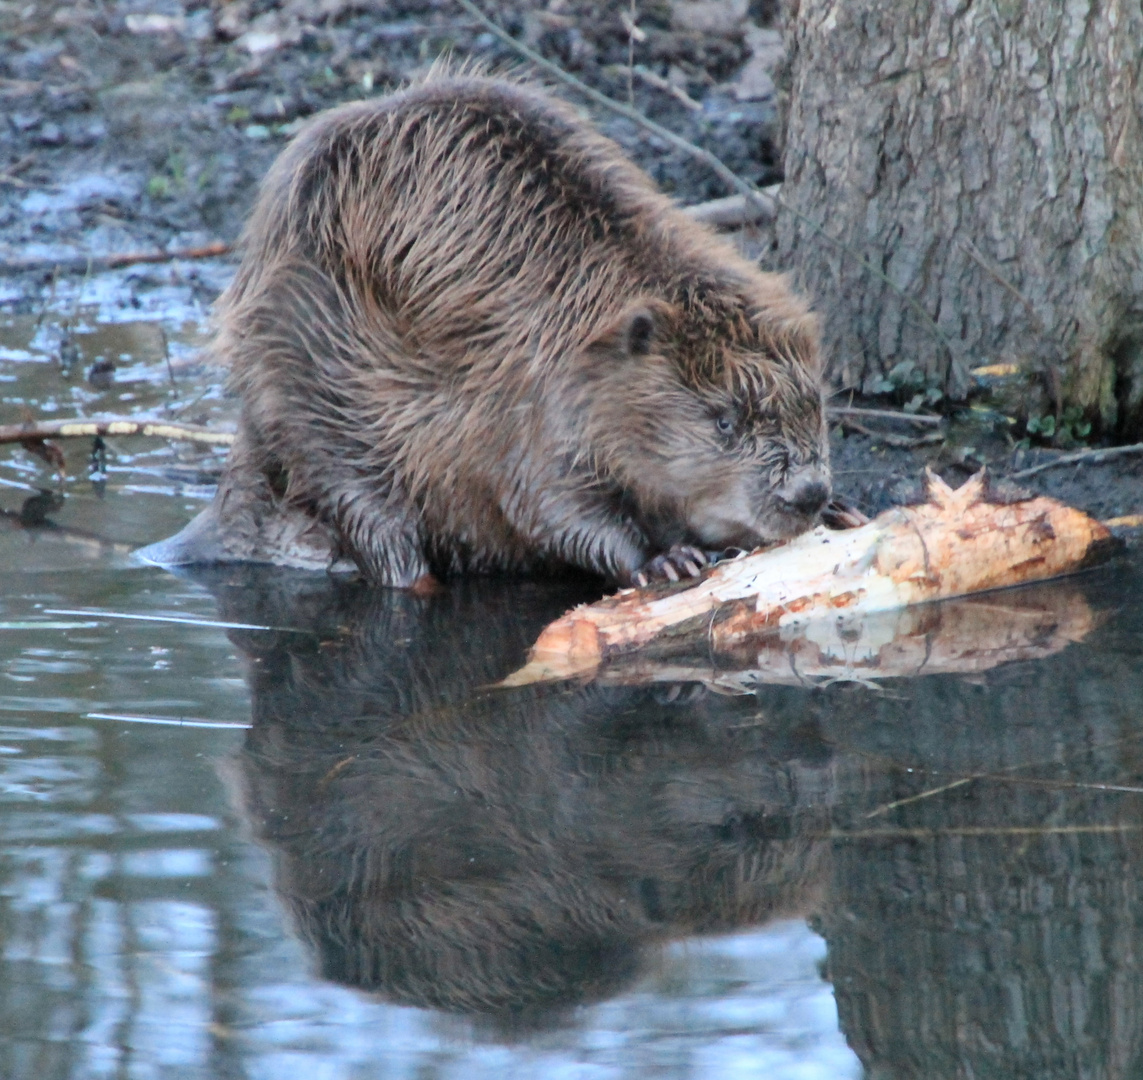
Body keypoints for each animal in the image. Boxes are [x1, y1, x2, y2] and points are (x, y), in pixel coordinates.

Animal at [154, 70, 832, 585]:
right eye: (725, 420)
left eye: (816, 404)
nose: (810, 494)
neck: (577, 300)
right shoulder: (528, 402)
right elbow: (546, 505)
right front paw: (665, 560)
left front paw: (844, 510)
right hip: (312, 391)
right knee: (374, 519)